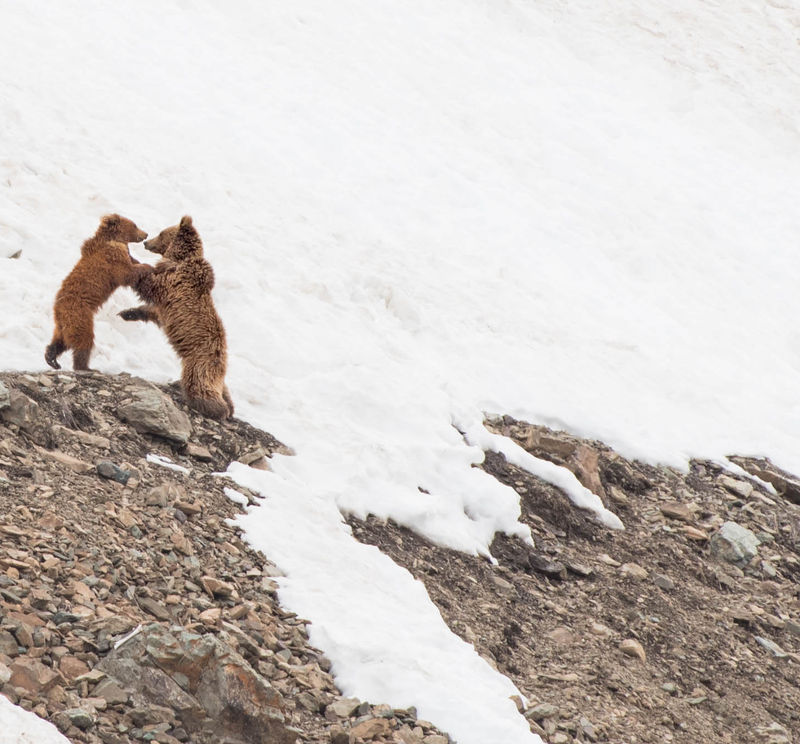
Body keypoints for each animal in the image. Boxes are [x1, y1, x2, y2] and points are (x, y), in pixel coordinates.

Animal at [45, 214, 151, 370]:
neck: (114, 239)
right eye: (135, 225)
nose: (146, 234)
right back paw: (84, 367)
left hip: (63, 324)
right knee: (84, 339)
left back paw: (52, 360)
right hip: (79, 314)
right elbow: (127, 273)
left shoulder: (123, 252)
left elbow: (132, 261)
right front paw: (148, 266)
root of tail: (57, 309)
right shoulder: (113, 257)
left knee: (60, 341)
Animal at [119, 218, 233, 422]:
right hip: (215, 374)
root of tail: (222, 357)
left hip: (200, 363)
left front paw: (131, 258)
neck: (178, 259)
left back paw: (216, 409)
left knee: (200, 386)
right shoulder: (166, 304)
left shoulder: (173, 283)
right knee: (223, 388)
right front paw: (127, 313)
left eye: (162, 233)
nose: (146, 242)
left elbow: (150, 285)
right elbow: (152, 310)